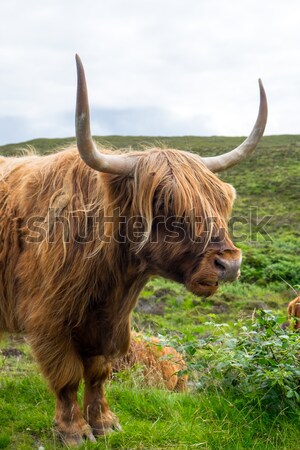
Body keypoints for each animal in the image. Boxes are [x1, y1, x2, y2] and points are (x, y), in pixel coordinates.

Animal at [0, 54, 268, 444]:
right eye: (164, 204)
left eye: (221, 201)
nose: (229, 264)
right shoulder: (48, 318)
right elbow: (67, 376)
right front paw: (74, 431)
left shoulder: (110, 323)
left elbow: (98, 372)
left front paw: (105, 423)